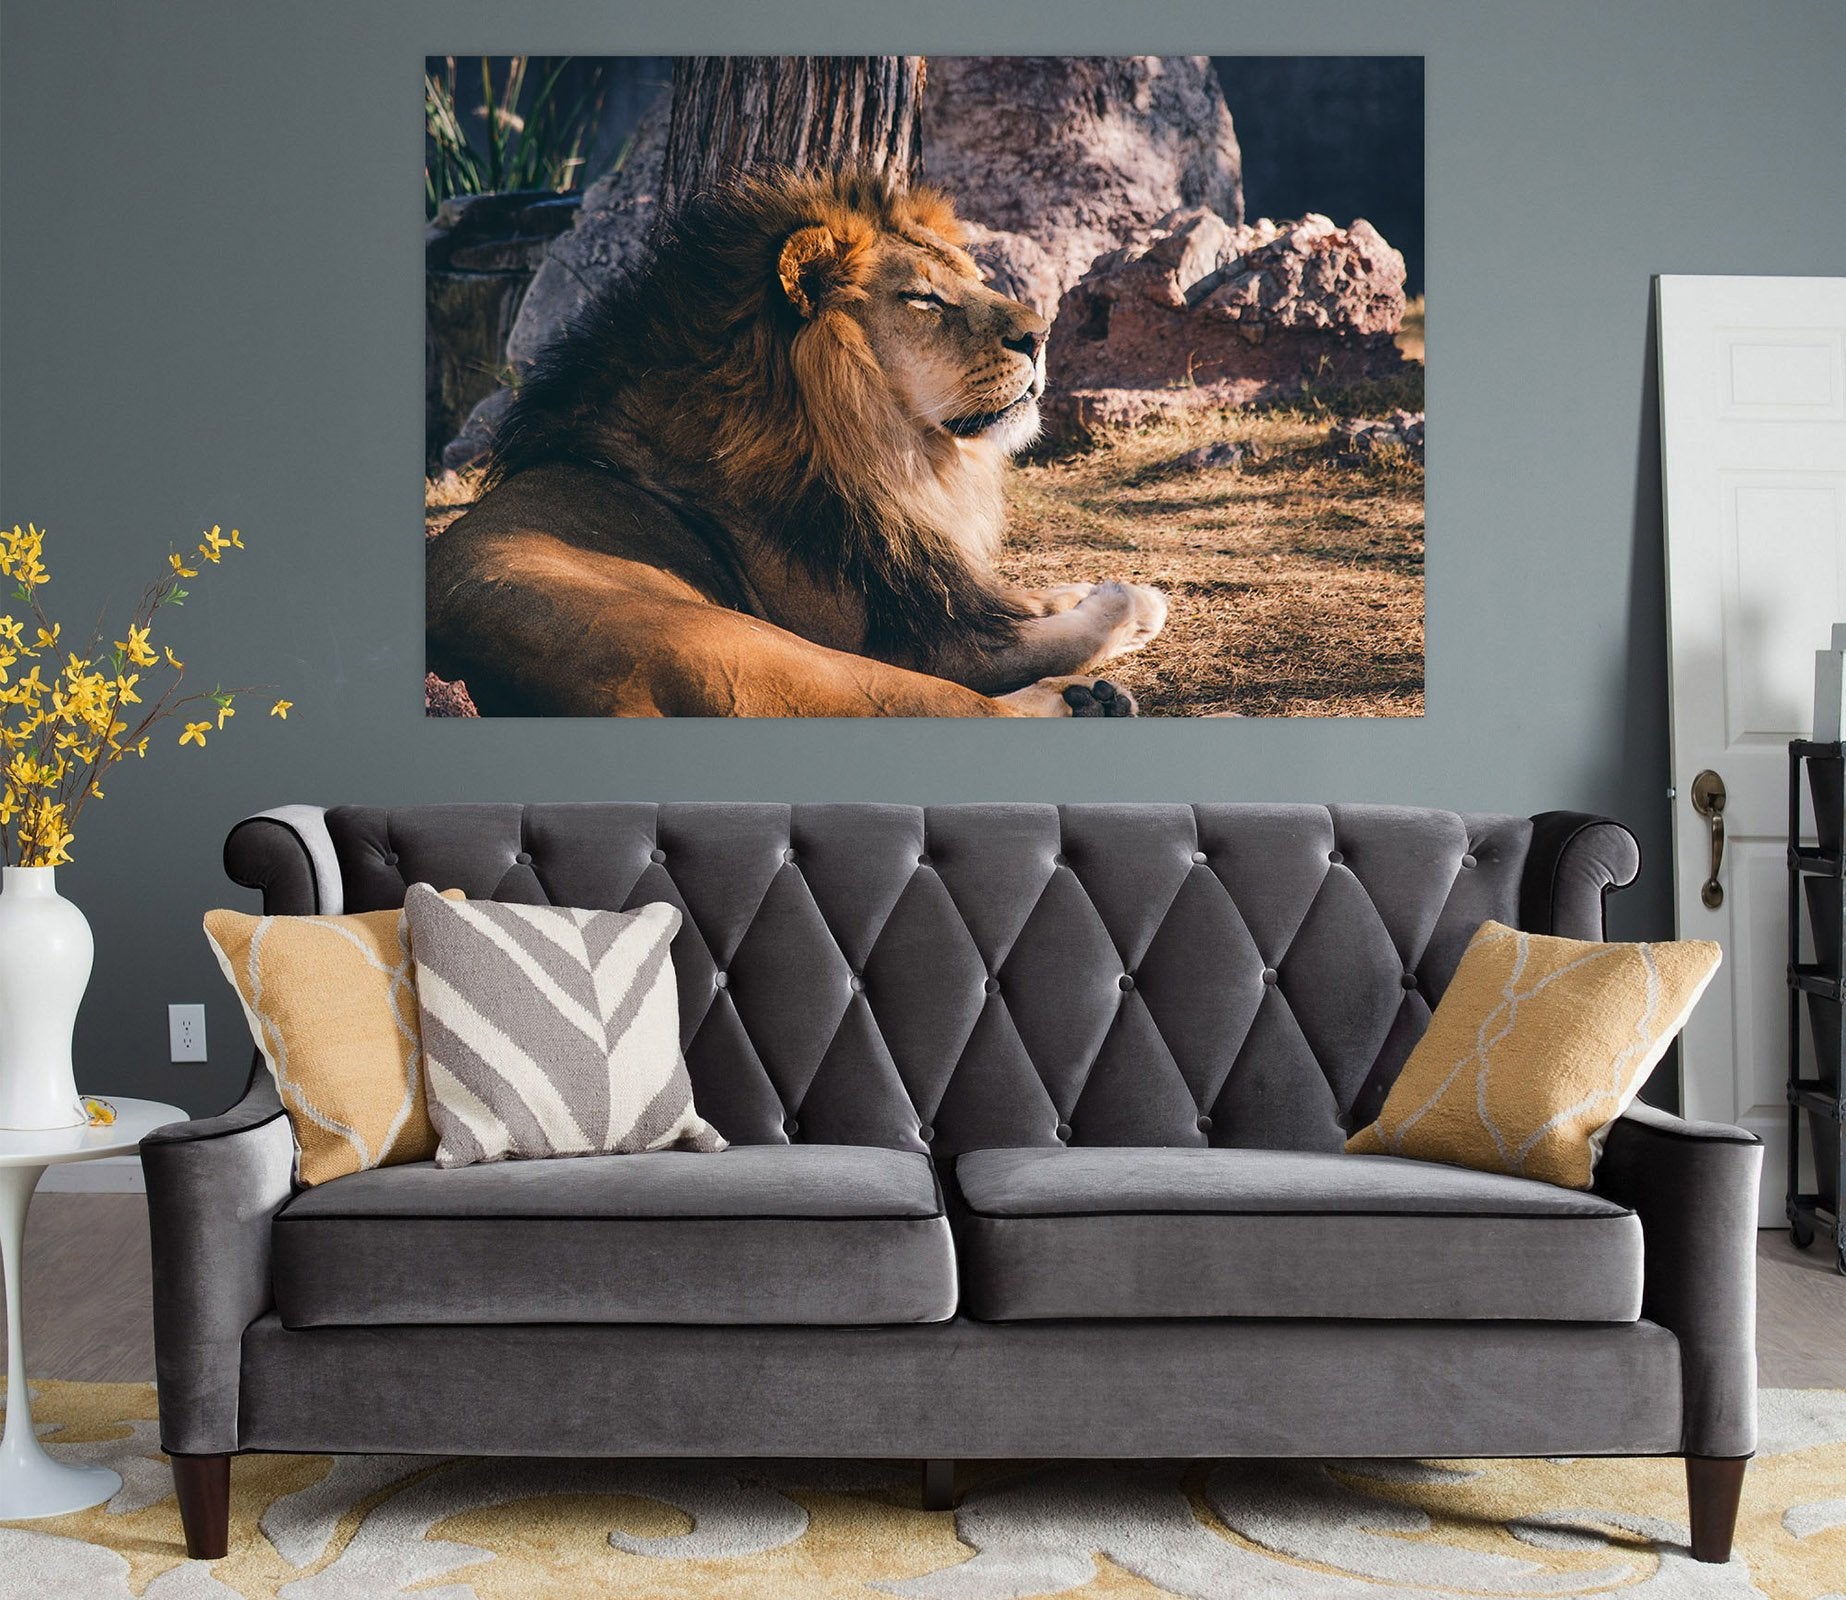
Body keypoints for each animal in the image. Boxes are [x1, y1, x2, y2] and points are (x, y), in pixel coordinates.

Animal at [426, 169, 1168, 717]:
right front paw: (1128, 601)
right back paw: (1090, 701)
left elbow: (1016, 599)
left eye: (973, 278)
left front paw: (1085, 586)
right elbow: (1048, 636)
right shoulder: (903, 638)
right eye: (924, 300)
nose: (1041, 335)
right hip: (780, 652)